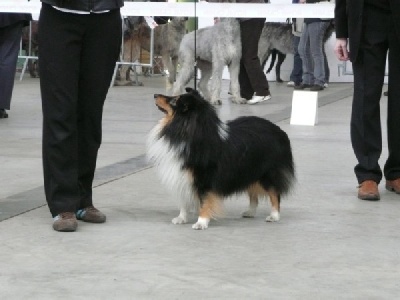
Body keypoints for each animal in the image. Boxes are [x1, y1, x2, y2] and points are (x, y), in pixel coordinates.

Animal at [146, 88, 294, 229]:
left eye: (174, 101)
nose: (154, 95)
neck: (187, 130)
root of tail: (279, 130)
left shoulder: (204, 179)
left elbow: (205, 201)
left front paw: (201, 223)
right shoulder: (182, 177)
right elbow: (184, 200)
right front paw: (181, 218)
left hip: (267, 173)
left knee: (275, 194)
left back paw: (274, 216)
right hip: (249, 171)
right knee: (253, 195)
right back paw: (250, 212)